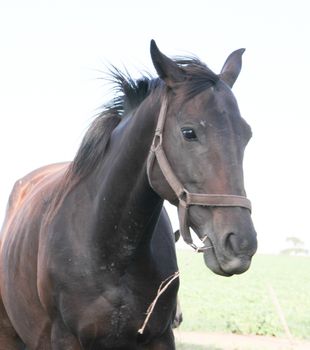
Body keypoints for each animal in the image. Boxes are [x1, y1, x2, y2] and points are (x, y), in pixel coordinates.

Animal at [0, 40, 256, 348]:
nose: (241, 243)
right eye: (189, 132)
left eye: (247, 134)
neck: (109, 249)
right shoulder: (65, 338)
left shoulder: (160, 337)